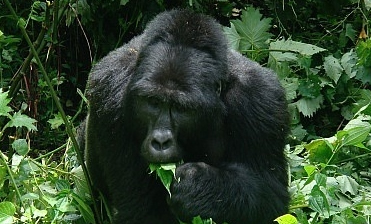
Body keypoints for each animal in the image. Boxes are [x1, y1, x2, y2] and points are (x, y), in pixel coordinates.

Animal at [84, 8, 290, 224]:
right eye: (153, 102)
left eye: (181, 108)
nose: (161, 141)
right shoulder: (108, 91)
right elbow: (140, 210)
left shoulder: (261, 98)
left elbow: (270, 194)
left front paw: (198, 187)